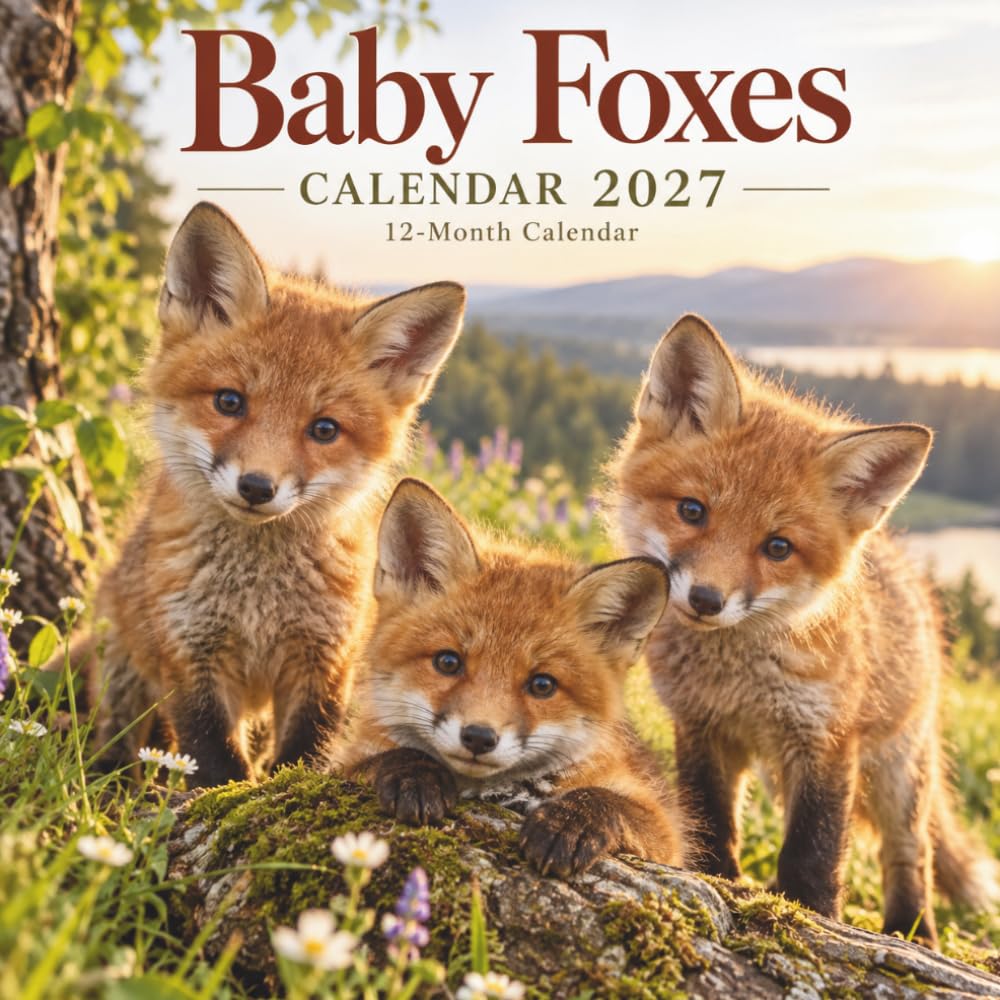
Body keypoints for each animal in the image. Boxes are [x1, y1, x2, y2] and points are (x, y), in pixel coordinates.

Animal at [82, 202, 465, 787]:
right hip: (123, 665)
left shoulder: (324, 658)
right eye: (229, 401)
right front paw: (219, 794)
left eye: (324, 430)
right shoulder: (192, 653)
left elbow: (307, 748)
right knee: (120, 728)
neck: (258, 598)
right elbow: (213, 756)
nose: (257, 487)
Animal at [329, 478, 687, 877]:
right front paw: (414, 774)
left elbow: (610, 800)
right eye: (448, 662)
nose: (478, 737)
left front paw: (569, 821)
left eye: (542, 685)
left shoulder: (665, 835)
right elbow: (381, 759)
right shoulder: (339, 764)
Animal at [606, 313, 998, 947]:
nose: (707, 600)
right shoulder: (701, 726)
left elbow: (814, 849)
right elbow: (712, 819)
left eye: (778, 548)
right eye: (692, 511)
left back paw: (912, 931)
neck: (740, 683)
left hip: (897, 769)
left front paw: (808, 916)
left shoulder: (825, 739)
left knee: (910, 851)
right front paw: (718, 879)